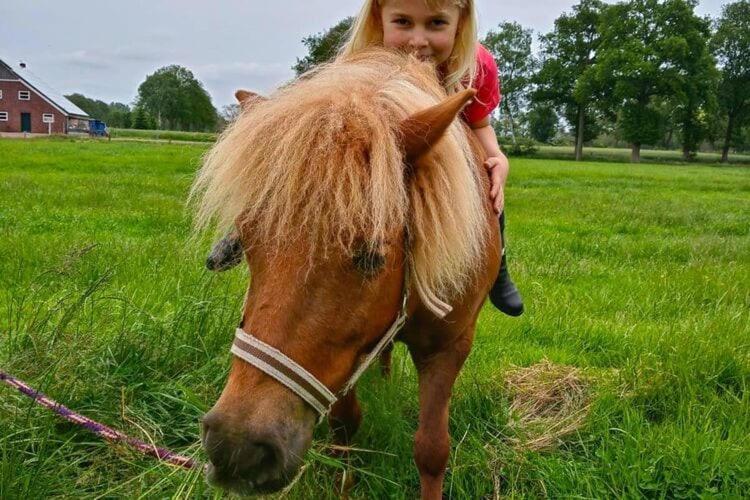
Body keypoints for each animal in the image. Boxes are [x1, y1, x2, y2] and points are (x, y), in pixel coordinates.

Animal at [191, 47, 502, 500]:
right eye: (247, 244)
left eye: (371, 256)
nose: (237, 448)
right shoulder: (341, 355)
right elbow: (344, 424)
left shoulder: (450, 345)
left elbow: (432, 447)